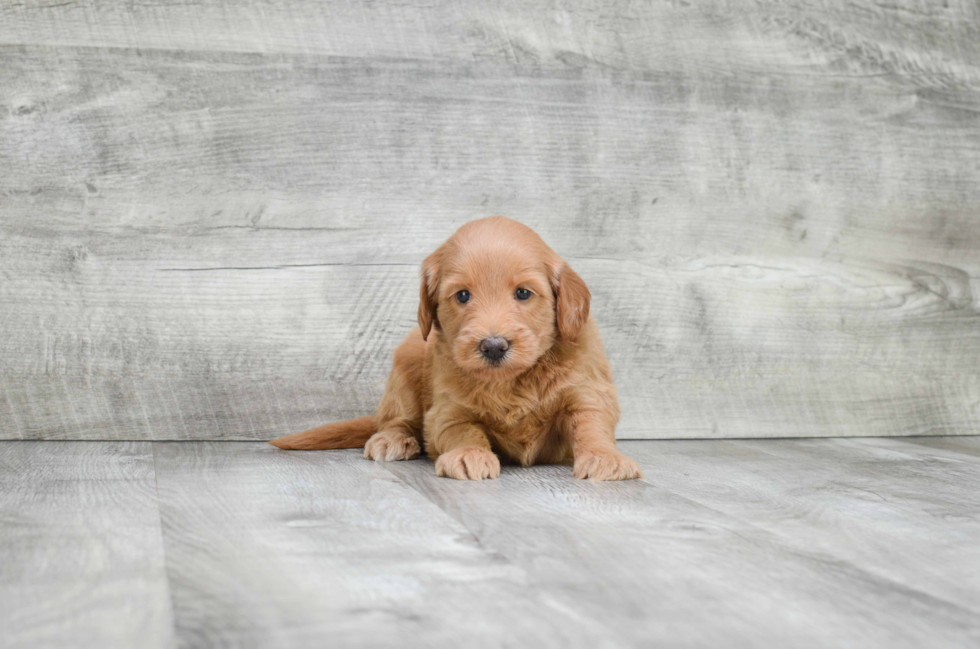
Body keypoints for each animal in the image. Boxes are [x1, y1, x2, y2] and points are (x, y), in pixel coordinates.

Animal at [272, 215, 648, 478]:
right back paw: (392, 439)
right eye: (463, 295)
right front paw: (470, 454)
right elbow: (463, 429)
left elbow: (591, 423)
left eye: (523, 293)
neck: (511, 382)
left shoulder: (587, 389)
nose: (493, 346)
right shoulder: (446, 412)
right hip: (407, 364)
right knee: (396, 419)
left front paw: (604, 458)